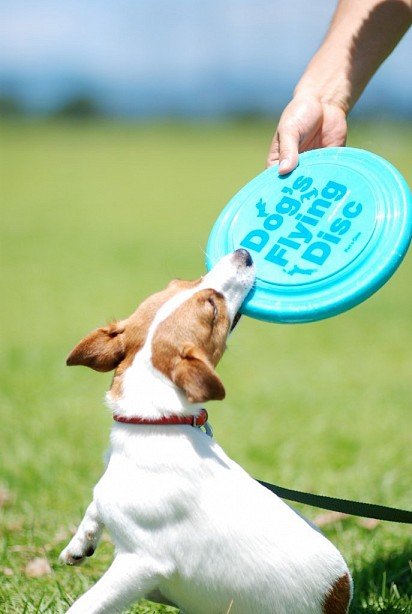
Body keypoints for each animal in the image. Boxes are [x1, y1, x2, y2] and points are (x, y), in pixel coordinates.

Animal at [59, 248, 352, 612]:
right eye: (178, 283)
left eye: (211, 306)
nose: (244, 252)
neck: (157, 424)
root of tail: (340, 595)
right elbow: (95, 504)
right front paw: (78, 543)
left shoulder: (143, 563)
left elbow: (85, 605)